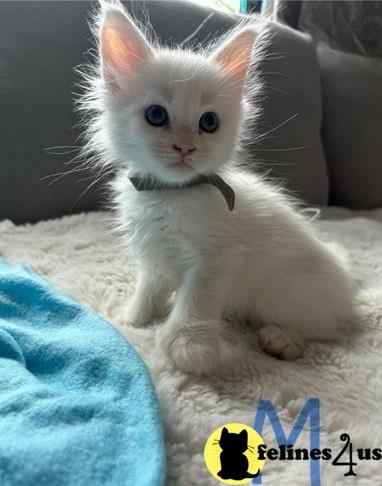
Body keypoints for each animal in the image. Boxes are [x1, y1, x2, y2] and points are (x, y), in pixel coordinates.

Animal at [81, 3, 358, 374]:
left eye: (208, 122)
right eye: (156, 115)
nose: (185, 147)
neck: (170, 196)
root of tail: (348, 285)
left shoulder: (217, 256)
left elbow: (196, 299)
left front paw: (188, 346)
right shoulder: (155, 253)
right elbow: (149, 289)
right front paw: (133, 318)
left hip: (284, 295)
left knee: (326, 331)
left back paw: (282, 340)